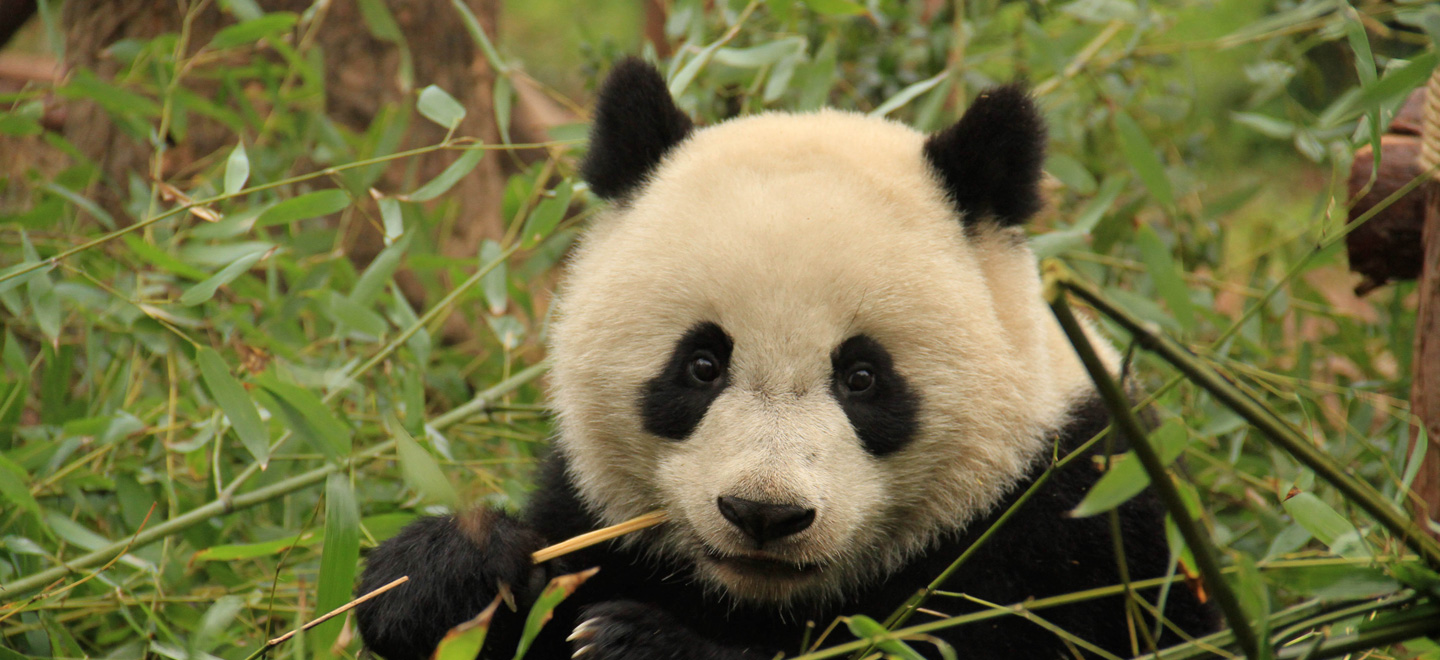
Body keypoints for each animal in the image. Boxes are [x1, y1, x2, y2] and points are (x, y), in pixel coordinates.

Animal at [354, 58, 1217, 660]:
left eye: (862, 377)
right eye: (701, 366)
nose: (763, 513)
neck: (757, 598)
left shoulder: (1082, 521)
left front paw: (639, 641)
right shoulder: (595, 515)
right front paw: (449, 573)